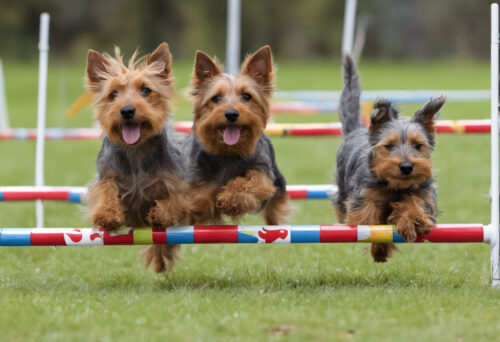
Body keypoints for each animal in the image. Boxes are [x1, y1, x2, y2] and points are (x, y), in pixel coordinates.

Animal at [85, 42, 188, 272]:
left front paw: (161, 213)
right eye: (113, 93)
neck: (136, 150)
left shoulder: (173, 181)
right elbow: (105, 191)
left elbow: (174, 200)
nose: (127, 110)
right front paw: (106, 215)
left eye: (145, 90)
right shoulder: (106, 176)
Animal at [184, 46, 292, 227]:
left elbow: (252, 182)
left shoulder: (262, 173)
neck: (229, 151)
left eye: (247, 96)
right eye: (216, 98)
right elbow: (201, 199)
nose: (231, 114)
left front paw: (231, 199)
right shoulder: (199, 186)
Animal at [332, 57, 446, 264]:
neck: (395, 185)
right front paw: (379, 249)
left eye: (418, 145)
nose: (406, 167)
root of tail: (357, 129)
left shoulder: (425, 192)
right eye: (389, 145)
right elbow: (371, 221)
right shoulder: (365, 196)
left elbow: (416, 202)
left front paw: (414, 219)